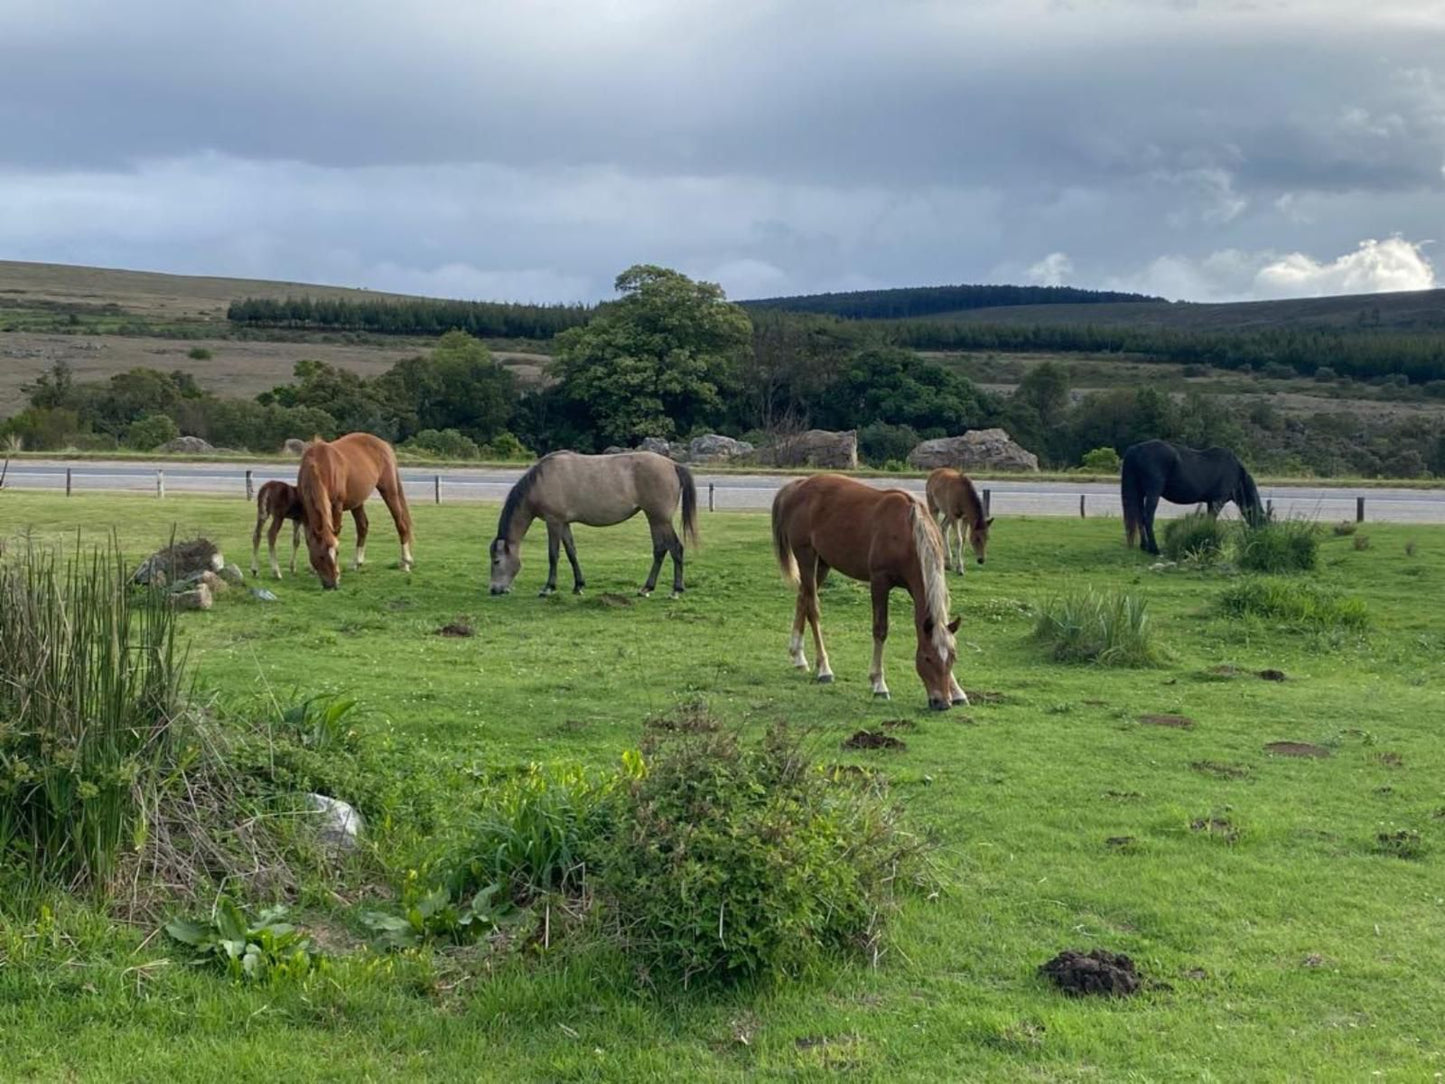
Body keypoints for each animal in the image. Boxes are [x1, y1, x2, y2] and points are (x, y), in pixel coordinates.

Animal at [294, 433, 413, 589]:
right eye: (320, 556)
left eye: (337, 553)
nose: (333, 584)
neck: (319, 465)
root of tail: (383, 444)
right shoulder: (306, 509)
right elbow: (309, 538)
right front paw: (312, 569)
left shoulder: (336, 506)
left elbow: (336, 533)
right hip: (358, 501)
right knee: (362, 526)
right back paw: (357, 562)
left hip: (389, 490)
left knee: (401, 524)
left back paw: (405, 563)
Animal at [491, 450, 699, 604]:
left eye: (497, 561)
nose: (494, 590)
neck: (542, 480)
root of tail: (673, 465)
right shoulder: (564, 523)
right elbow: (571, 553)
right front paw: (578, 586)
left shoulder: (554, 522)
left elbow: (553, 555)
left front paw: (548, 588)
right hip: (654, 518)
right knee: (660, 550)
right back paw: (646, 588)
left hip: (660, 519)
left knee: (675, 548)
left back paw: (675, 590)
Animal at [774, 474, 965, 713]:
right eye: (928, 658)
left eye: (952, 658)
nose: (942, 703)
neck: (907, 531)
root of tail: (798, 485)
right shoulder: (879, 582)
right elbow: (880, 630)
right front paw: (878, 683)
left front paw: (958, 692)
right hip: (806, 557)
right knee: (813, 608)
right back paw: (824, 668)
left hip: (823, 563)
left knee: (803, 600)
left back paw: (798, 656)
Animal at [1115, 439, 1265, 555]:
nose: (1259, 539)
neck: (1236, 472)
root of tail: (1135, 449)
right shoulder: (1218, 501)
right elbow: (1211, 520)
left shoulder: (1211, 502)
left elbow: (1209, 521)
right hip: (1153, 493)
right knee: (1148, 518)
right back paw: (1154, 549)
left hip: (1139, 493)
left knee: (1140, 518)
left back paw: (1144, 546)